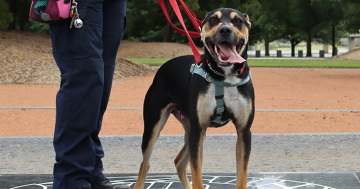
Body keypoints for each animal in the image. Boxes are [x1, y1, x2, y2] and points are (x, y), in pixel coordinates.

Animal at [132, 7, 253, 189]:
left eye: (238, 21)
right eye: (213, 20)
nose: (225, 30)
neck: (224, 76)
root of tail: (163, 67)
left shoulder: (243, 131)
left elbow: (242, 177)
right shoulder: (198, 130)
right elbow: (197, 175)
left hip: (190, 131)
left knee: (179, 162)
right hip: (154, 127)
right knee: (144, 164)